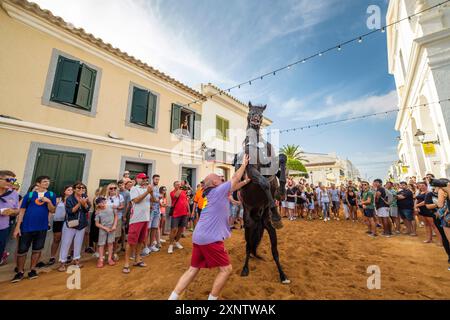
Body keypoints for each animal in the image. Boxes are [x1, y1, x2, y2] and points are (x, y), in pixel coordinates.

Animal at [234, 101, 290, 284]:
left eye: (261, 113)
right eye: (250, 111)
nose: (256, 119)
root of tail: (257, 219)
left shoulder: (271, 165)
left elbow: (282, 159)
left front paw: (281, 192)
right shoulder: (251, 171)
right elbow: (264, 183)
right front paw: (276, 212)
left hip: (269, 229)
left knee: (274, 252)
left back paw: (283, 275)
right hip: (248, 225)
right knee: (247, 247)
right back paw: (245, 269)